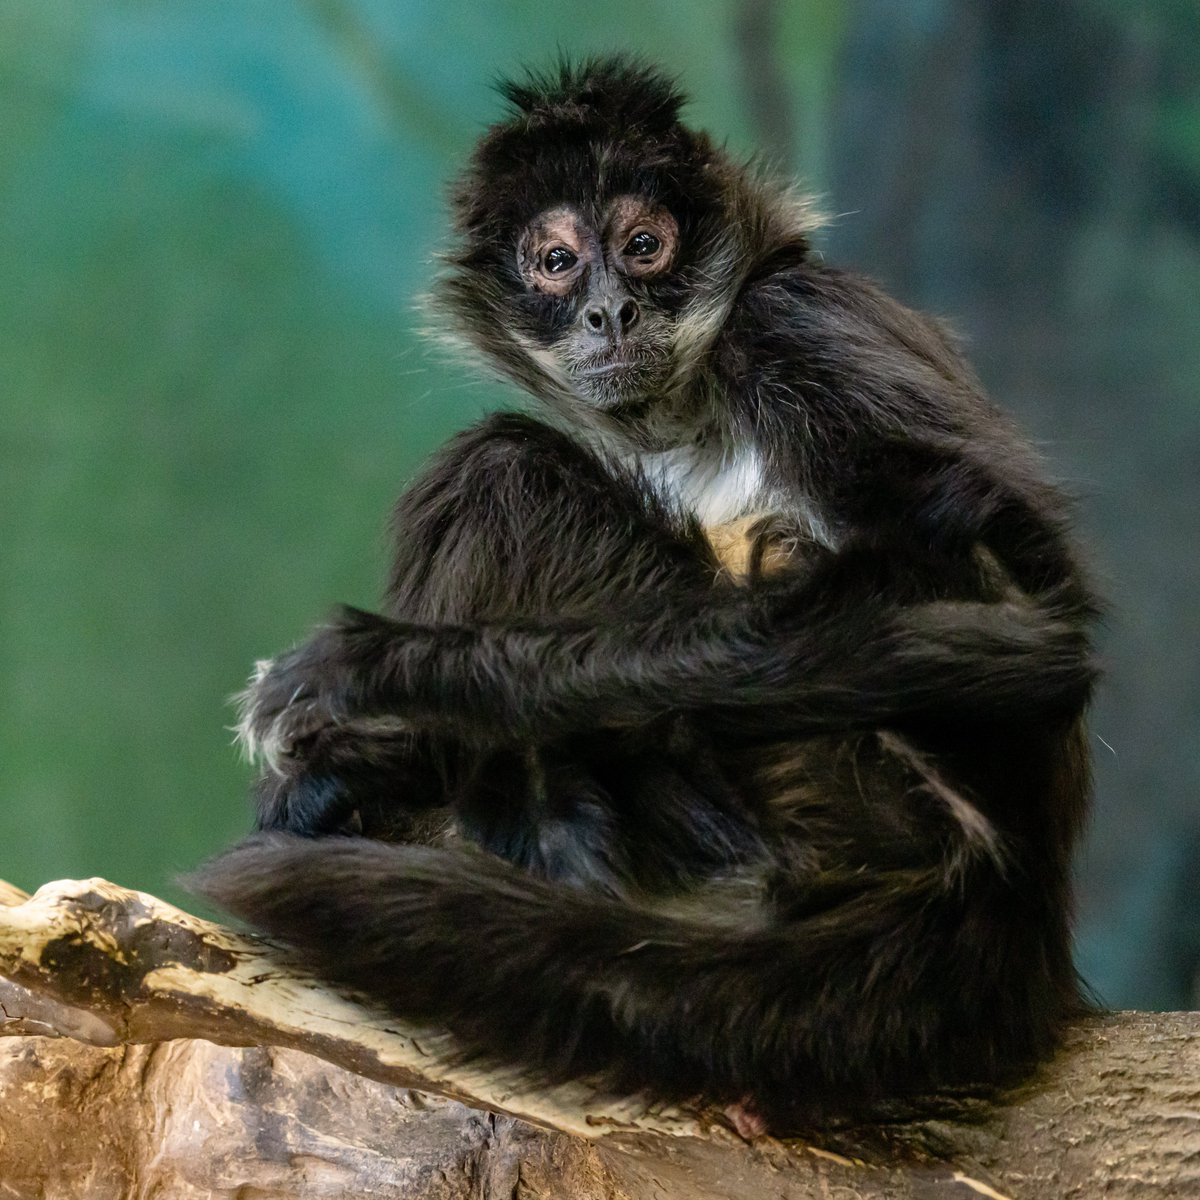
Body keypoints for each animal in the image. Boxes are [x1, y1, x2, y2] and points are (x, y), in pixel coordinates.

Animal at [193, 58, 1098, 1131]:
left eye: (642, 246)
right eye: (555, 262)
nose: (611, 312)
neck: (692, 410)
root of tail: (1019, 899)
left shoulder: (797, 321)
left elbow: (1024, 624)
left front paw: (388, 676)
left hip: (843, 791)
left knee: (490, 465)